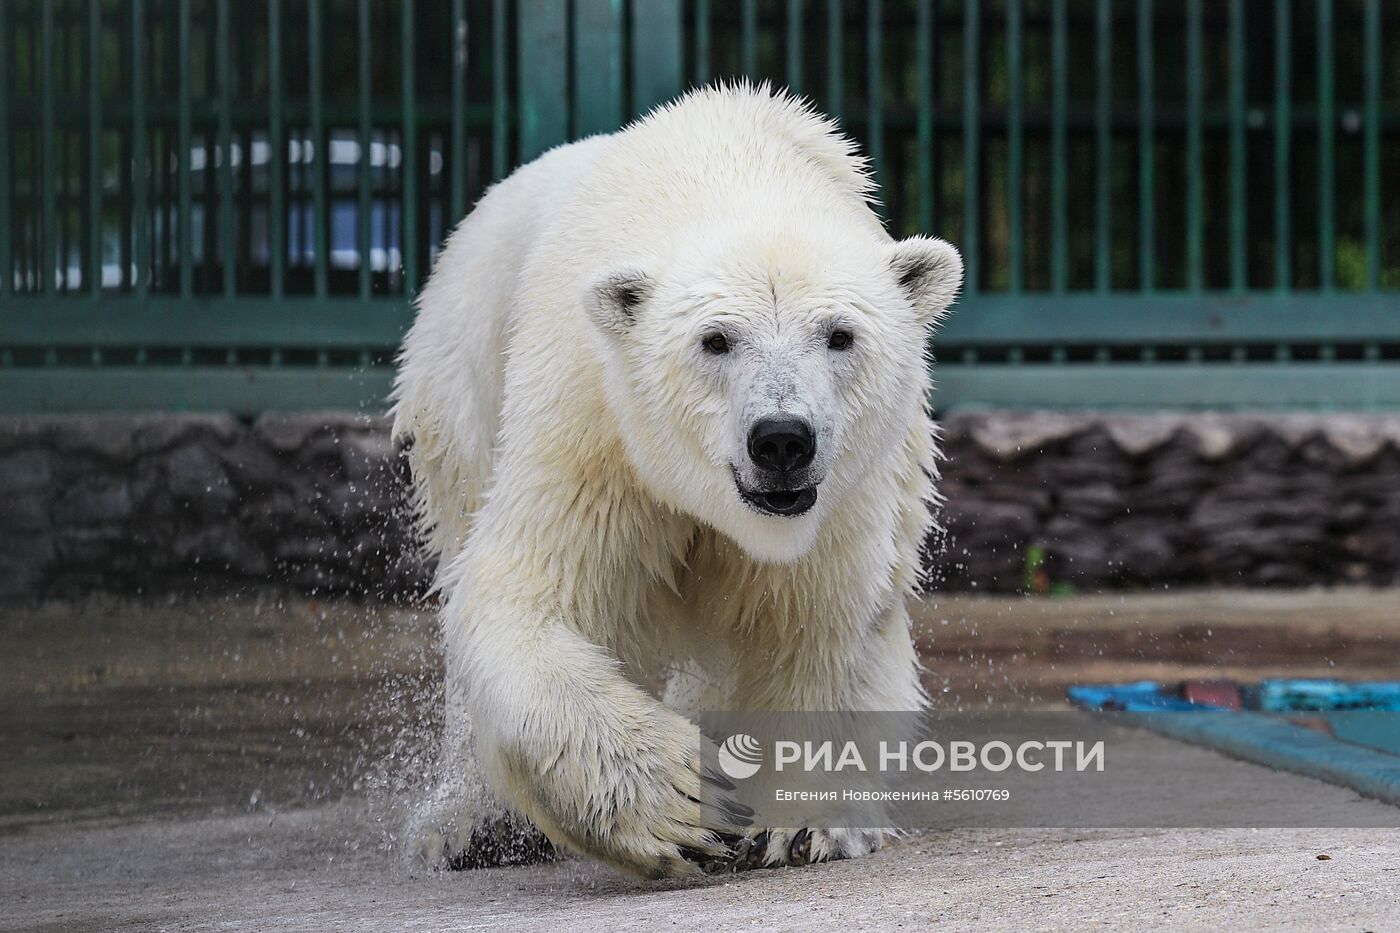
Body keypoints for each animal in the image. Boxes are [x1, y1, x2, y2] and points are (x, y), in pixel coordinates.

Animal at [392, 83, 963, 874]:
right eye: (715, 339)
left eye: (840, 335)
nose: (781, 440)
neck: (723, 168)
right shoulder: (594, 427)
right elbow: (526, 597)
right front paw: (686, 799)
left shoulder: (843, 498)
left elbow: (817, 624)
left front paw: (803, 822)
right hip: (460, 386)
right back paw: (470, 825)